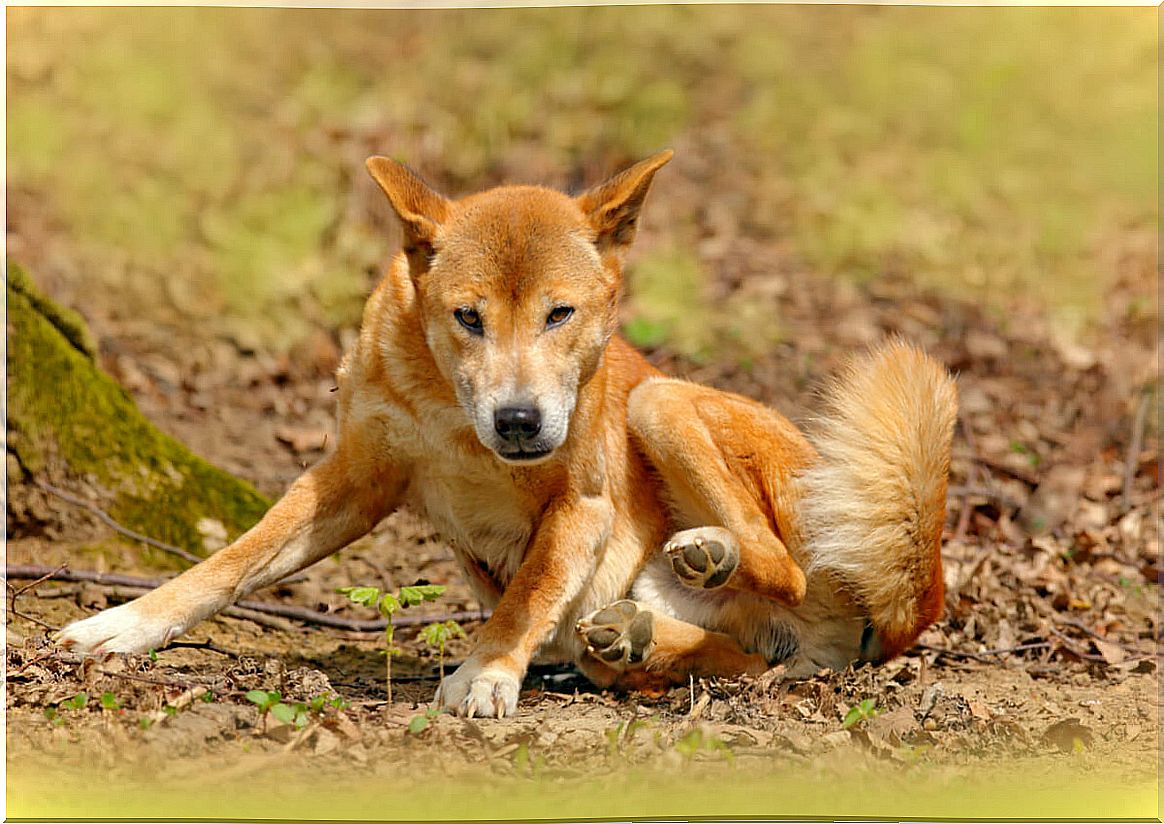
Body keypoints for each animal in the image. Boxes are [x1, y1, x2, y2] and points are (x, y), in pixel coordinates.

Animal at [56, 151, 954, 716]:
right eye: (467, 317)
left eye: (559, 314)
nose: (519, 420)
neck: (451, 417)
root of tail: (913, 597)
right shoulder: (349, 481)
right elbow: (232, 562)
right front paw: (124, 626)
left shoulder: (581, 508)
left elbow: (524, 594)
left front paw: (485, 671)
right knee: (741, 655)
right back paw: (638, 634)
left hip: (659, 401)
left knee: (780, 570)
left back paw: (707, 557)